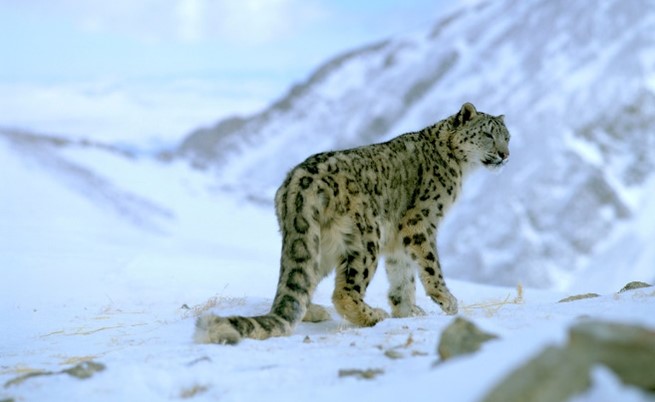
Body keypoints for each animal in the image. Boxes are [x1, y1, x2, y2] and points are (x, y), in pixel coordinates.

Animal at [195, 102, 510, 344]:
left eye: (507, 137)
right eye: (487, 134)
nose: (505, 155)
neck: (459, 168)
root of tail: (297, 183)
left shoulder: (397, 238)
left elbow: (402, 274)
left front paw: (408, 310)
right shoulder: (420, 222)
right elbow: (430, 265)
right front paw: (447, 301)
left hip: (318, 244)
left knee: (301, 283)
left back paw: (315, 311)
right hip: (366, 238)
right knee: (345, 291)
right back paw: (372, 315)